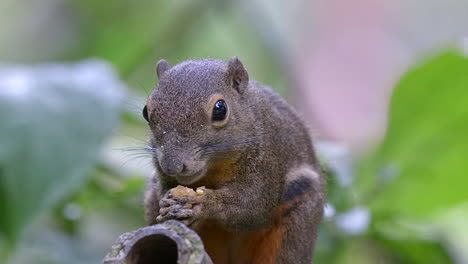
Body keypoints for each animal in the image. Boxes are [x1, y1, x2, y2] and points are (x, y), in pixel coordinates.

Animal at [143, 56, 326, 262]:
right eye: (145, 111)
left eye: (220, 109)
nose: (172, 166)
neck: (213, 168)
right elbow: (164, 188)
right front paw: (167, 203)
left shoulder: (267, 161)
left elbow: (253, 205)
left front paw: (204, 202)